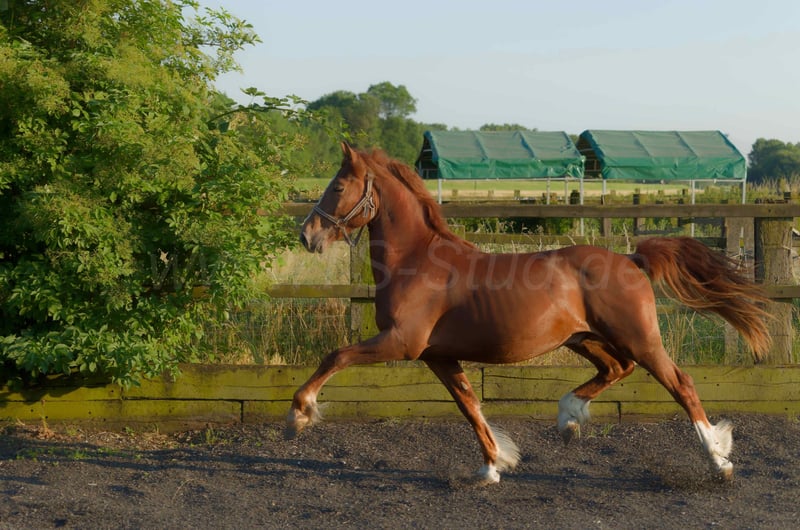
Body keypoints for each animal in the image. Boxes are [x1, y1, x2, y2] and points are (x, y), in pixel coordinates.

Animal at [288, 142, 771, 484]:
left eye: (337, 187)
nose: (307, 235)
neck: (419, 261)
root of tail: (631, 258)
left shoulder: (401, 344)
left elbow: (336, 356)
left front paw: (300, 414)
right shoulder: (438, 356)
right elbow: (469, 405)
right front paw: (492, 466)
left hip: (639, 337)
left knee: (680, 383)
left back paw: (719, 462)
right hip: (583, 338)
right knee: (617, 368)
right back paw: (569, 418)